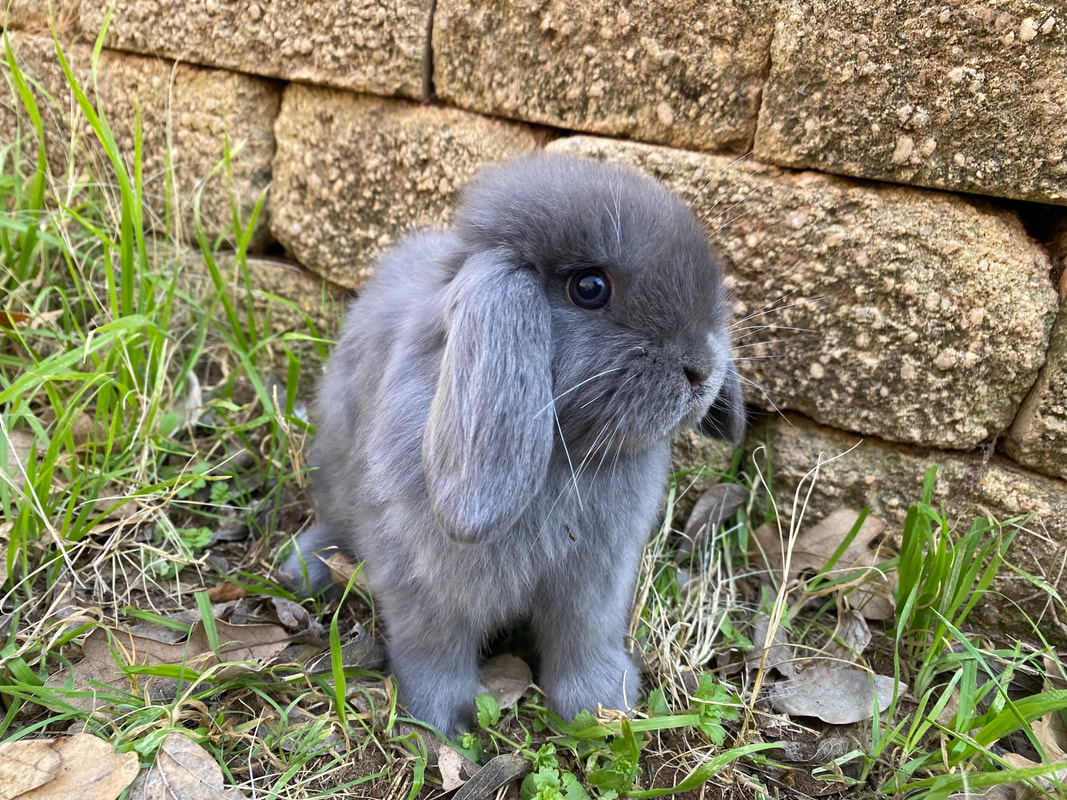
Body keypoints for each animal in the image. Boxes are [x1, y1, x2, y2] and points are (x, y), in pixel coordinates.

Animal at [283, 153, 745, 735]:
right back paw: (304, 570)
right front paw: (441, 724)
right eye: (589, 288)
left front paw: (599, 709)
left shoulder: (595, 581)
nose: (702, 369)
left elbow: (582, 638)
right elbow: (434, 648)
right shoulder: (423, 580)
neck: (564, 455)